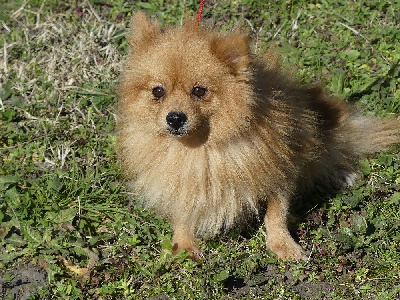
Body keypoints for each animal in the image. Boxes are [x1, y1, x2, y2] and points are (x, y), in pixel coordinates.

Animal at [116, 11, 400, 260]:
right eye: (158, 91)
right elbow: (183, 211)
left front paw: (283, 245)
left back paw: (344, 172)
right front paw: (183, 244)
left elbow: (276, 214)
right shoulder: (182, 182)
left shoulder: (280, 167)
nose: (175, 118)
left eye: (199, 91)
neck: (203, 148)